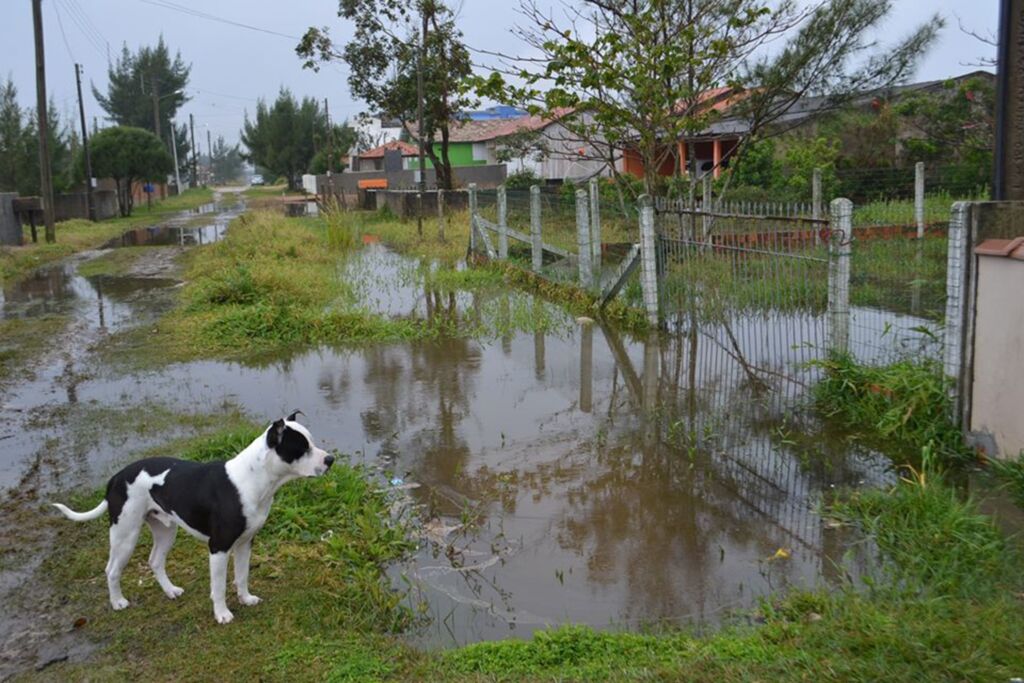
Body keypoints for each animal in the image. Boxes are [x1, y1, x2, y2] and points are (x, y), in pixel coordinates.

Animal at [51, 411, 331, 626]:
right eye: (302, 448)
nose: (330, 459)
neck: (253, 479)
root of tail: (116, 477)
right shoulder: (218, 548)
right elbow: (219, 586)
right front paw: (222, 614)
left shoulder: (245, 543)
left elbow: (242, 576)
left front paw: (246, 598)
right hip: (125, 534)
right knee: (111, 569)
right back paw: (118, 601)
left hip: (165, 530)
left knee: (155, 560)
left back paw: (170, 591)